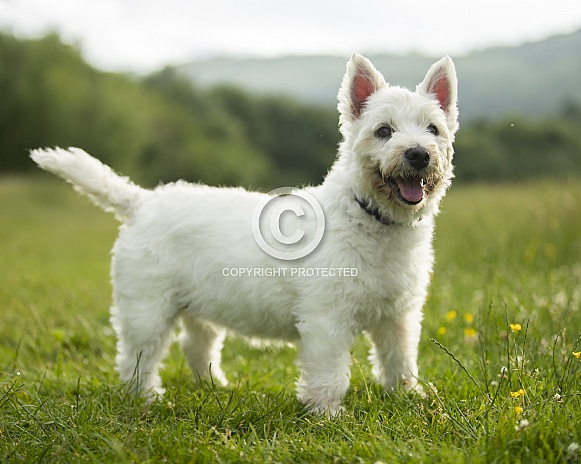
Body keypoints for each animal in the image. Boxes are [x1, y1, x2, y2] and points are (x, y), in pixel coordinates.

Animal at [30, 52, 458, 416]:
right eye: (383, 131)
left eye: (433, 129)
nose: (419, 154)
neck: (376, 221)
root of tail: (141, 201)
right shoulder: (327, 319)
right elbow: (330, 373)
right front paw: (327, 416)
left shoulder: (400, 316)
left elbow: (399, 360)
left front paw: (409, 398)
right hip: (147, 308)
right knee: (138, 357)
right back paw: (147, 399)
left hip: (199, 305)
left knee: (195, 345)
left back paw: (213, 386)